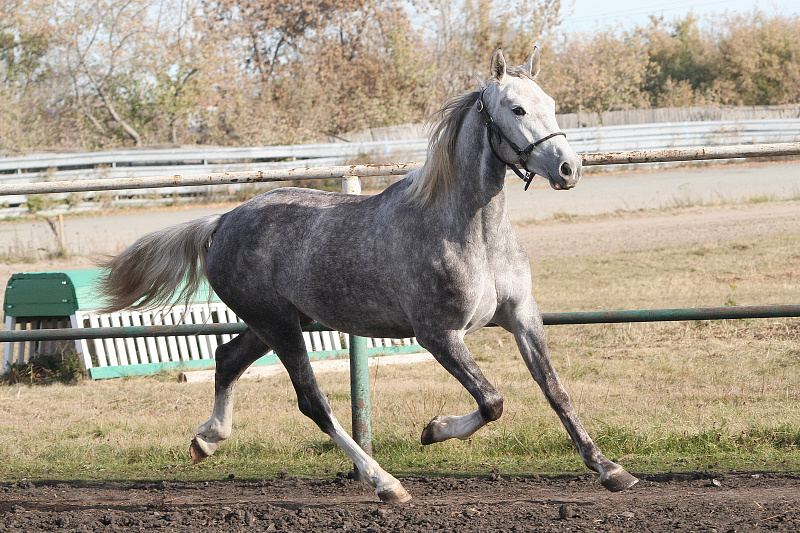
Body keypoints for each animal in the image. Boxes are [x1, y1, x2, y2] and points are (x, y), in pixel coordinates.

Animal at [99, 48, 639, 503]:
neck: (471, 231)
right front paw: (433, 430)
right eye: (517, 109)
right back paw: (386, 483)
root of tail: (224, 221)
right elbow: (492, 401)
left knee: (227, 357)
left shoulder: (522, 316)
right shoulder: (438, 334)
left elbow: (556, 391)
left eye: (551, 104)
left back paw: (207, 440)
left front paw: (611, 470)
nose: (569, 168)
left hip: (280, 322)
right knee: (312, 402)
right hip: (279, 326)